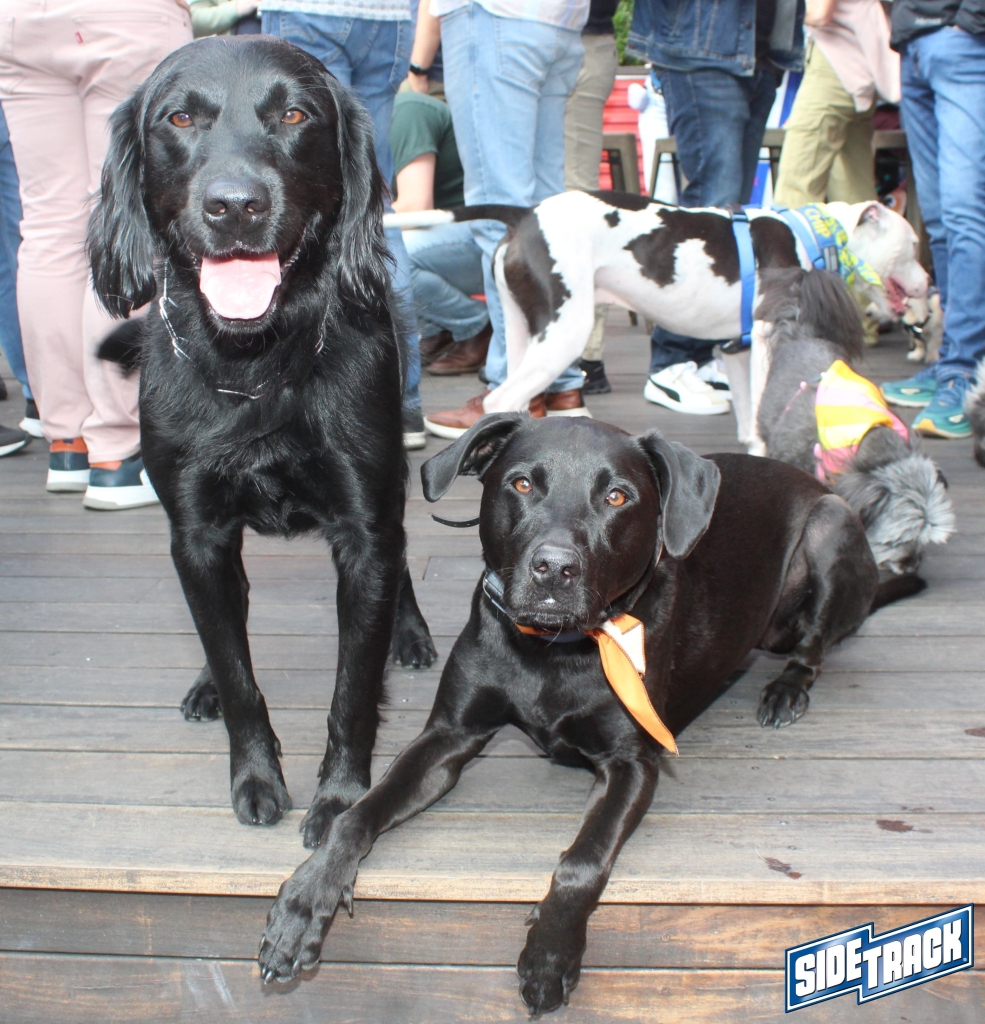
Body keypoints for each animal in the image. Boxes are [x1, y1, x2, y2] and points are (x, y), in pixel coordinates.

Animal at [87, 36, 436, 842]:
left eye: (296, 115)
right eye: (179, 117)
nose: (236, 206)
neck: (257, 359)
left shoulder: (364, 529)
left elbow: (352, 689)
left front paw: (340, 798)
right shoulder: (199, 535)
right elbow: (238, 671)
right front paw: (255, 776)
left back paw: (408, 634)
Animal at [257, 415, 923, 1014]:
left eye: (617, 496)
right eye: (522, 484)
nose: (555, 568)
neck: (552, 652)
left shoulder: (632, 764)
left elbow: (581, 860)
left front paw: (550, 954)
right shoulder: (448, 735)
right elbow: (358, 815)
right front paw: (305, 899)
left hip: (831, 529)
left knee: (814, 645)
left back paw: (786, 690)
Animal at [405, 191, 929, 450]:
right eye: (913, 245)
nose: (928, 282)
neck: (814, 234)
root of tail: (526, 214)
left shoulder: (737, 349)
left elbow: (746, 409)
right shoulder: (766, 340)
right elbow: (764, 406)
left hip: (522, 333)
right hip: (562, 335)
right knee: (502, 399)